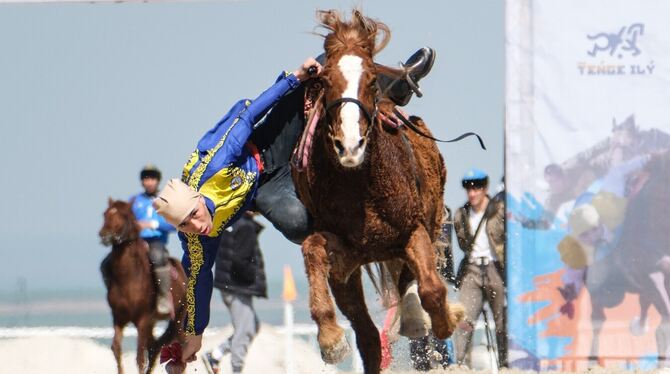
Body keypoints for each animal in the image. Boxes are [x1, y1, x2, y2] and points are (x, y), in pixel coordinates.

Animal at [98, 200, 186, 372]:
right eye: (105, 214)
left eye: (124, 215)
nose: (104, 235)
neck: (127, 279)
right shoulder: (119, 318)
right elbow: (116, 349)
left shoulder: (142, 320)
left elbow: (139, 357)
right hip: (152, 323)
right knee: (154, 348)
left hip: (178, 320)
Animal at [292, 9, 462, 374]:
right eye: (324, 82)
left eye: (372, 81)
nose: (350, 145)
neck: (363, 189)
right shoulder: (345, 253)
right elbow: (313, 248)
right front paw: (330, 339)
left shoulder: (414, 230)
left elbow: (432, 289)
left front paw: (448, 318)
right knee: (368, 336)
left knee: (410, 285)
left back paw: (415, 317)